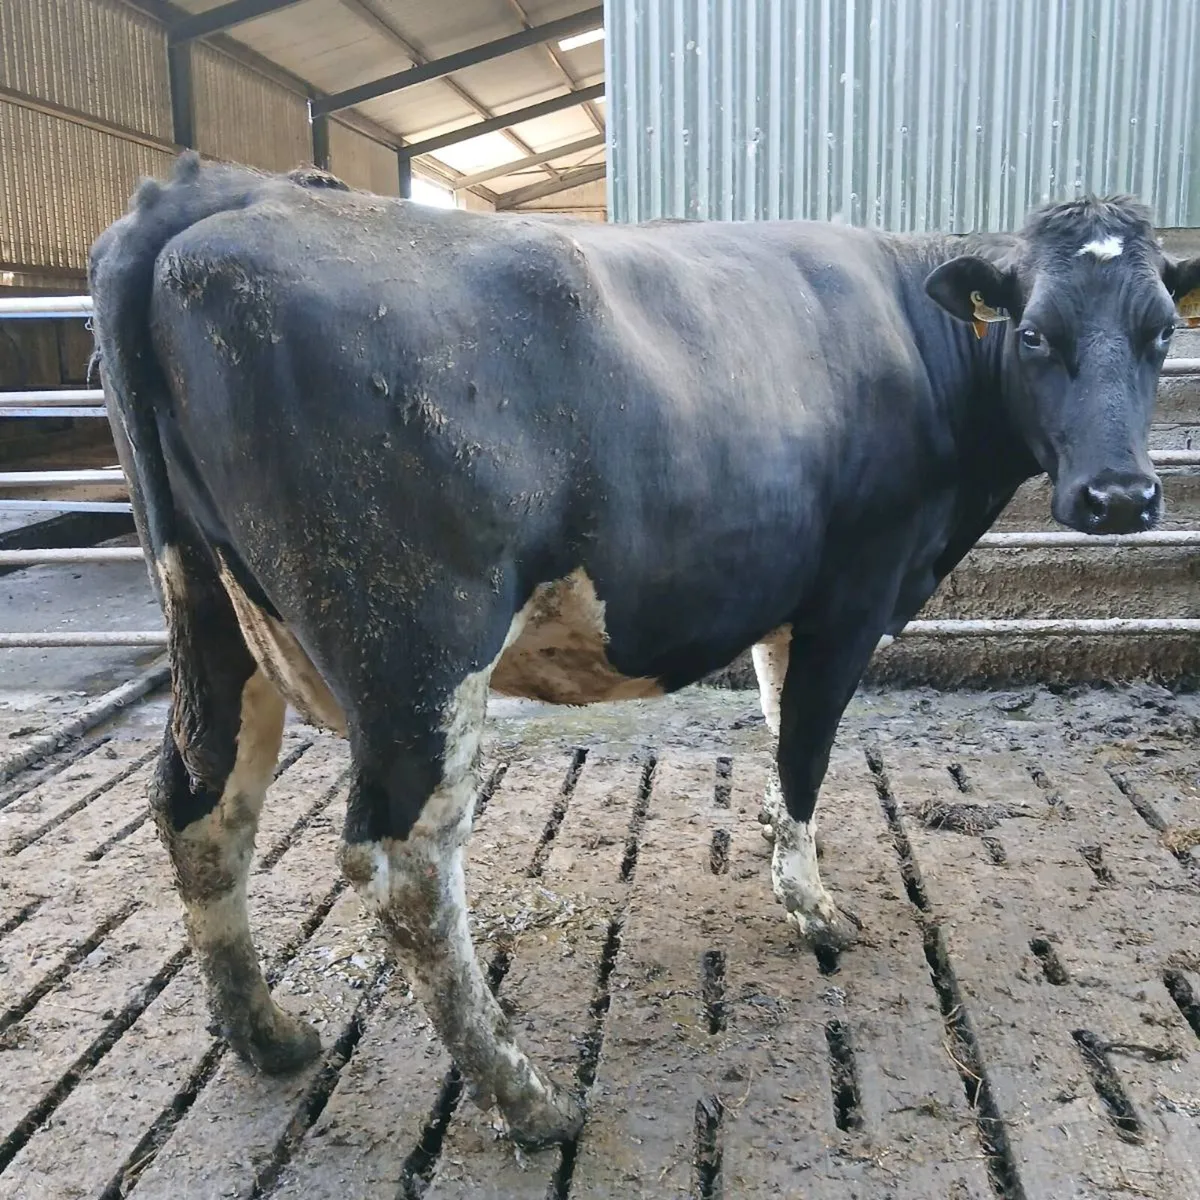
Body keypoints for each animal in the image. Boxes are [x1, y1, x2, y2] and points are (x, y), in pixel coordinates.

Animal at [89, 152, 1200, 1148]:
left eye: (1163, 332)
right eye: (1036, 332)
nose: (1119, 497)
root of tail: (217, 192)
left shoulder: (788, 602)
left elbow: (777, 731)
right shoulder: (852, 593)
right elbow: (807, 752)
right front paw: (815, 908)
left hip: (217, 622)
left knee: (200, 811)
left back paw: (267, 1034)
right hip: (415, 650)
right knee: (407, 873)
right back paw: (529, 1101)